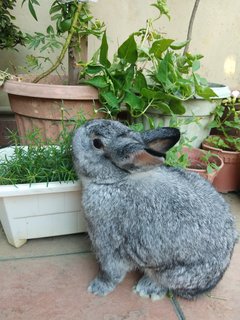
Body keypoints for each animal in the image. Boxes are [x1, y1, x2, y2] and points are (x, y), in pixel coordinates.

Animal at [72, 119, 237, 300]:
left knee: (166, 284)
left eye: (97, 143)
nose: (77, 130)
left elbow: (111, 272)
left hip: (168, 272)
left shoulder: (108, 244)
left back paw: (146, 289)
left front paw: (97, 288)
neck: (114, 181)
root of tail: (215, 278)